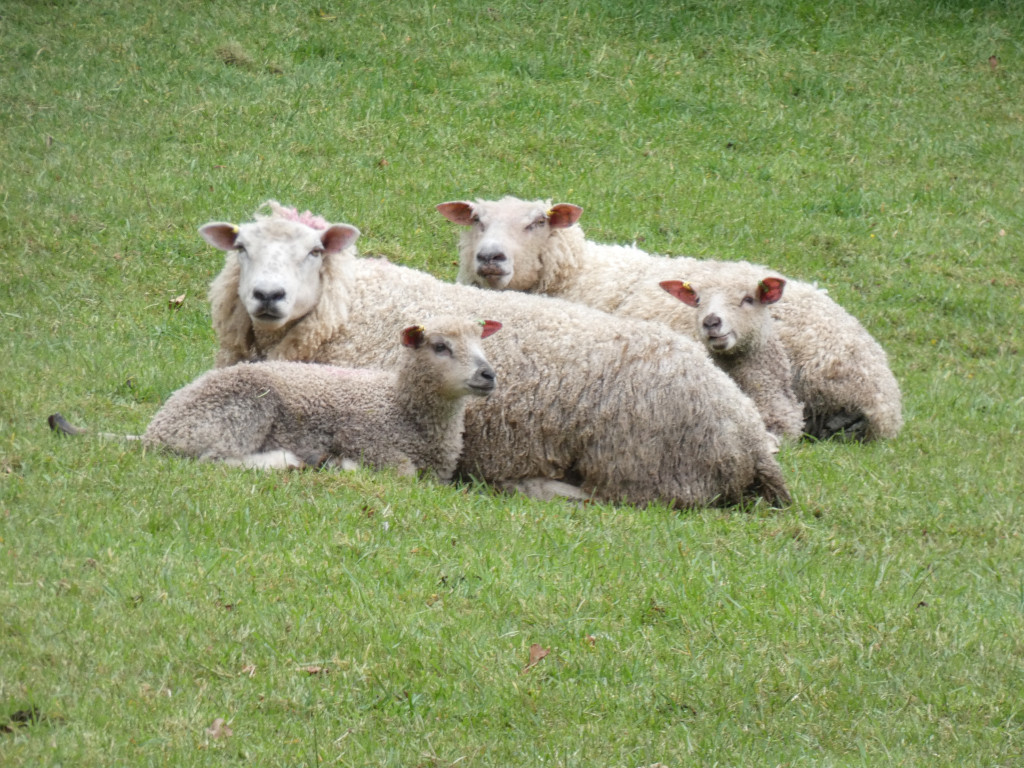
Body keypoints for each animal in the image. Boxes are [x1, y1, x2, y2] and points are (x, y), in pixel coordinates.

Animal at [53, 316, 501, 481]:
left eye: (482, 341)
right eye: (440, 347)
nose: (488, 374)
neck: (398, 405)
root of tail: (156, 429)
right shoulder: (373, 444)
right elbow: (401, 474)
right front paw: (341, 465)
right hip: (242, 410)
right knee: (215, 460)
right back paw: (286, 461)